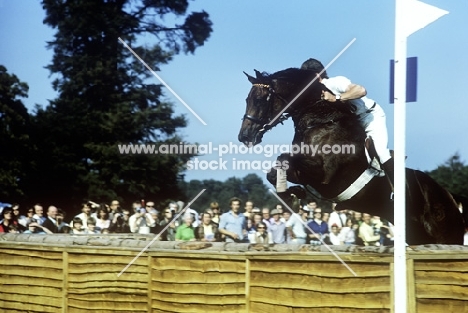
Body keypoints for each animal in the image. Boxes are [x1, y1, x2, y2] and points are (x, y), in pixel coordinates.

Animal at [239, 67, 466, 244]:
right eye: (247, 99)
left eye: (260, 99)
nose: (244, 136)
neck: (319, 121)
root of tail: (451, 197)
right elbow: (276, 168)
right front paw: (293, 195)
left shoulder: (327, 177)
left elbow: (285, 160)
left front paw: (293, 196)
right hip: (417, 236)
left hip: (445, 235)